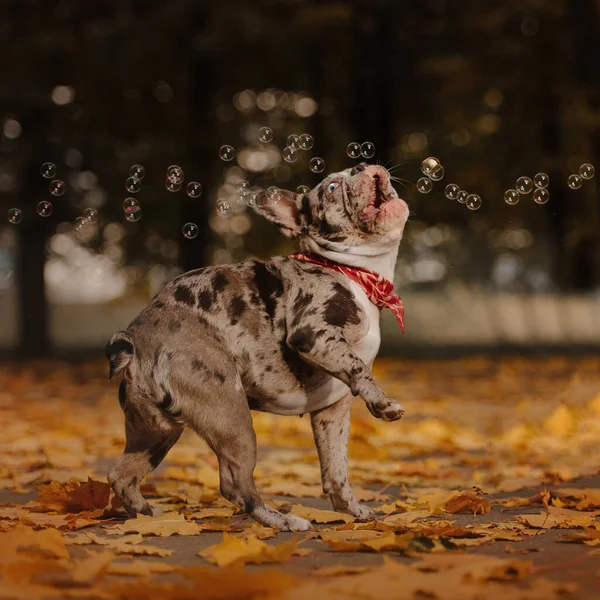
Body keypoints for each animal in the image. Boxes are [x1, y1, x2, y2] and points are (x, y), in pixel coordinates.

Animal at [106, 161, 408, 528]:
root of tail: (135, 340)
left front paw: (353, 510)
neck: (356, 271)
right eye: (332, 188)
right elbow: (358, 367)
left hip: (155, 432)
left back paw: (148, 517)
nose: (362, 164)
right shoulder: (313, 333)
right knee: (235, 482)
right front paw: (382, 402)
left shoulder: (332, 411)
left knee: (122, 474)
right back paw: (280, 520)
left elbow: (336, 468)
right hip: (231, 414)